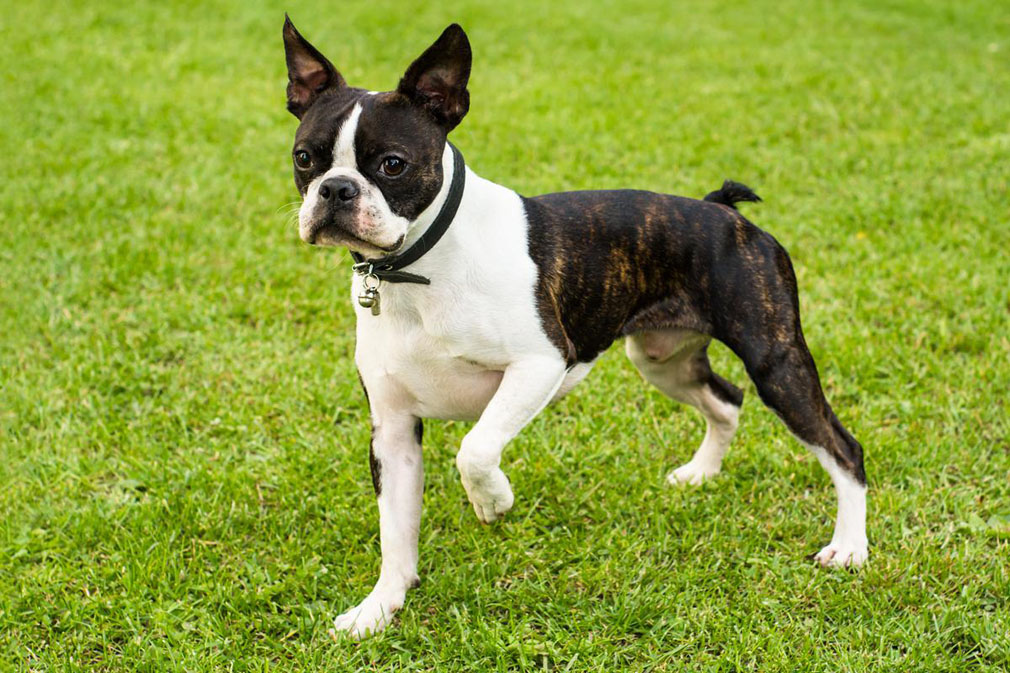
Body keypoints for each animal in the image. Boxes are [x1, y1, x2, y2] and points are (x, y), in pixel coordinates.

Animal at [282, 15, 868, 634]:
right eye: (305, 159)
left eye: (392, 164)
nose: (336, 188)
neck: (417, 269)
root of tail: (724, 210)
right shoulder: (393, 430)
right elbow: (395, 533)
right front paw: (379, 608)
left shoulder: (540, 363)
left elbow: (475, 447)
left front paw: (493, 501)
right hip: (662, 359)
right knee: (726, 399)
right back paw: (701, 473)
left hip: (775, 360)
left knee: (842, 448)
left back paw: (850, 548)